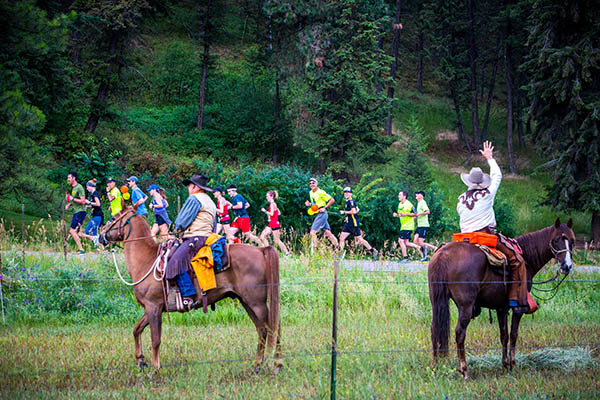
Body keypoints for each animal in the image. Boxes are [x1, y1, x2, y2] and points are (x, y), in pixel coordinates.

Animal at [99, 208, 282, 374]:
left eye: (114, 218)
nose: (100, 236)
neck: (147, 259)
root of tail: (260, 250)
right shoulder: (151, 308)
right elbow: (136, 329)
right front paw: (140, 360)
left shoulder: (154, 307)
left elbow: (155, 339)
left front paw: (156, 368)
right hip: (247, 302)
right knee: (263, 329)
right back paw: (259, 365)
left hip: (256, 303)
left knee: (272, 328)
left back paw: (275, 365)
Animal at [428, 219, 576, 378]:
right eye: (556, 240)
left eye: (572, 240)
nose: (567, 266)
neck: (527, 256)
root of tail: (443, 254)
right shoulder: (517, 308)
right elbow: (513, 334)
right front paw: (513, 366)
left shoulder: (501, 307)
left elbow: (503, 335)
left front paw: (505, 365)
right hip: (465, 306)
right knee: (460, 333)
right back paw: (464, 370)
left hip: (437, 301)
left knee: (435, 329)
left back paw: (435, 367)